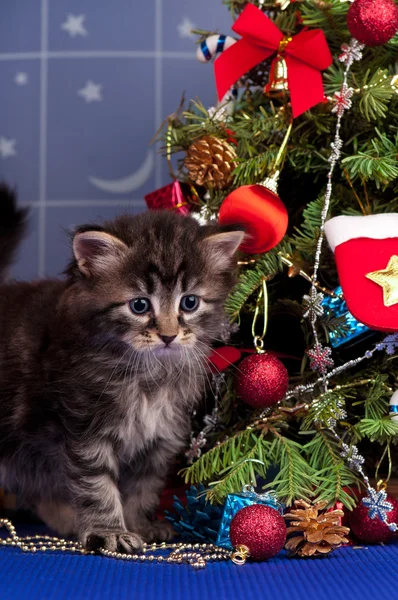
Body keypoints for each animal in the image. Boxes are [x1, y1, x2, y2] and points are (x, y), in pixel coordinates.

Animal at [0, 184, 244, 552]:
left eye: (189, 302)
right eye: (139, 306)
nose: (168, 335)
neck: (149, 377)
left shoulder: (161, 438)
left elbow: (142, 489)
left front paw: (138, 525)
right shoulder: (85, 431)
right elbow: (97, 486)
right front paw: (108, 531)